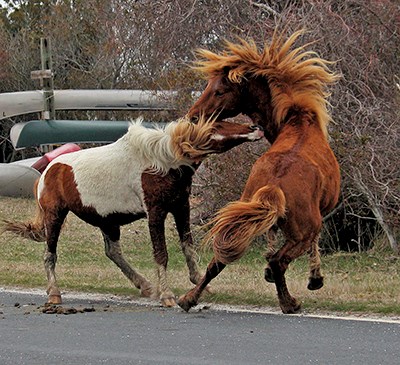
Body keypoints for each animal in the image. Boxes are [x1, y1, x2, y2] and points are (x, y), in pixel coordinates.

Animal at [3, 116, 266, 304]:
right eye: (219, 124)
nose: (256, 127)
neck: (163, 160)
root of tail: (48, 171)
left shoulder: (181, 207)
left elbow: (188, 247)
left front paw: (201, 284)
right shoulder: (156, 212)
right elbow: (162, 254)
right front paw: (167, 295)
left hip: (108, 222)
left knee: (113, 253)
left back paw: (144, 285)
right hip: (55, 216)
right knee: (50, 255)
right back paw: (54, 294)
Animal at [179, 29, 340, 312]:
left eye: (219, 90)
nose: (194, 116)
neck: (298, 121)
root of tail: (275, 185)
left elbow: (269, 234)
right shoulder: (320, 216)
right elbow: (313, 245)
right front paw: (315, 279)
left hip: (242, 216)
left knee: (218, 260)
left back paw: (188, 299)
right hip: (301, 233)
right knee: (280, 261)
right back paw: (289, 303)